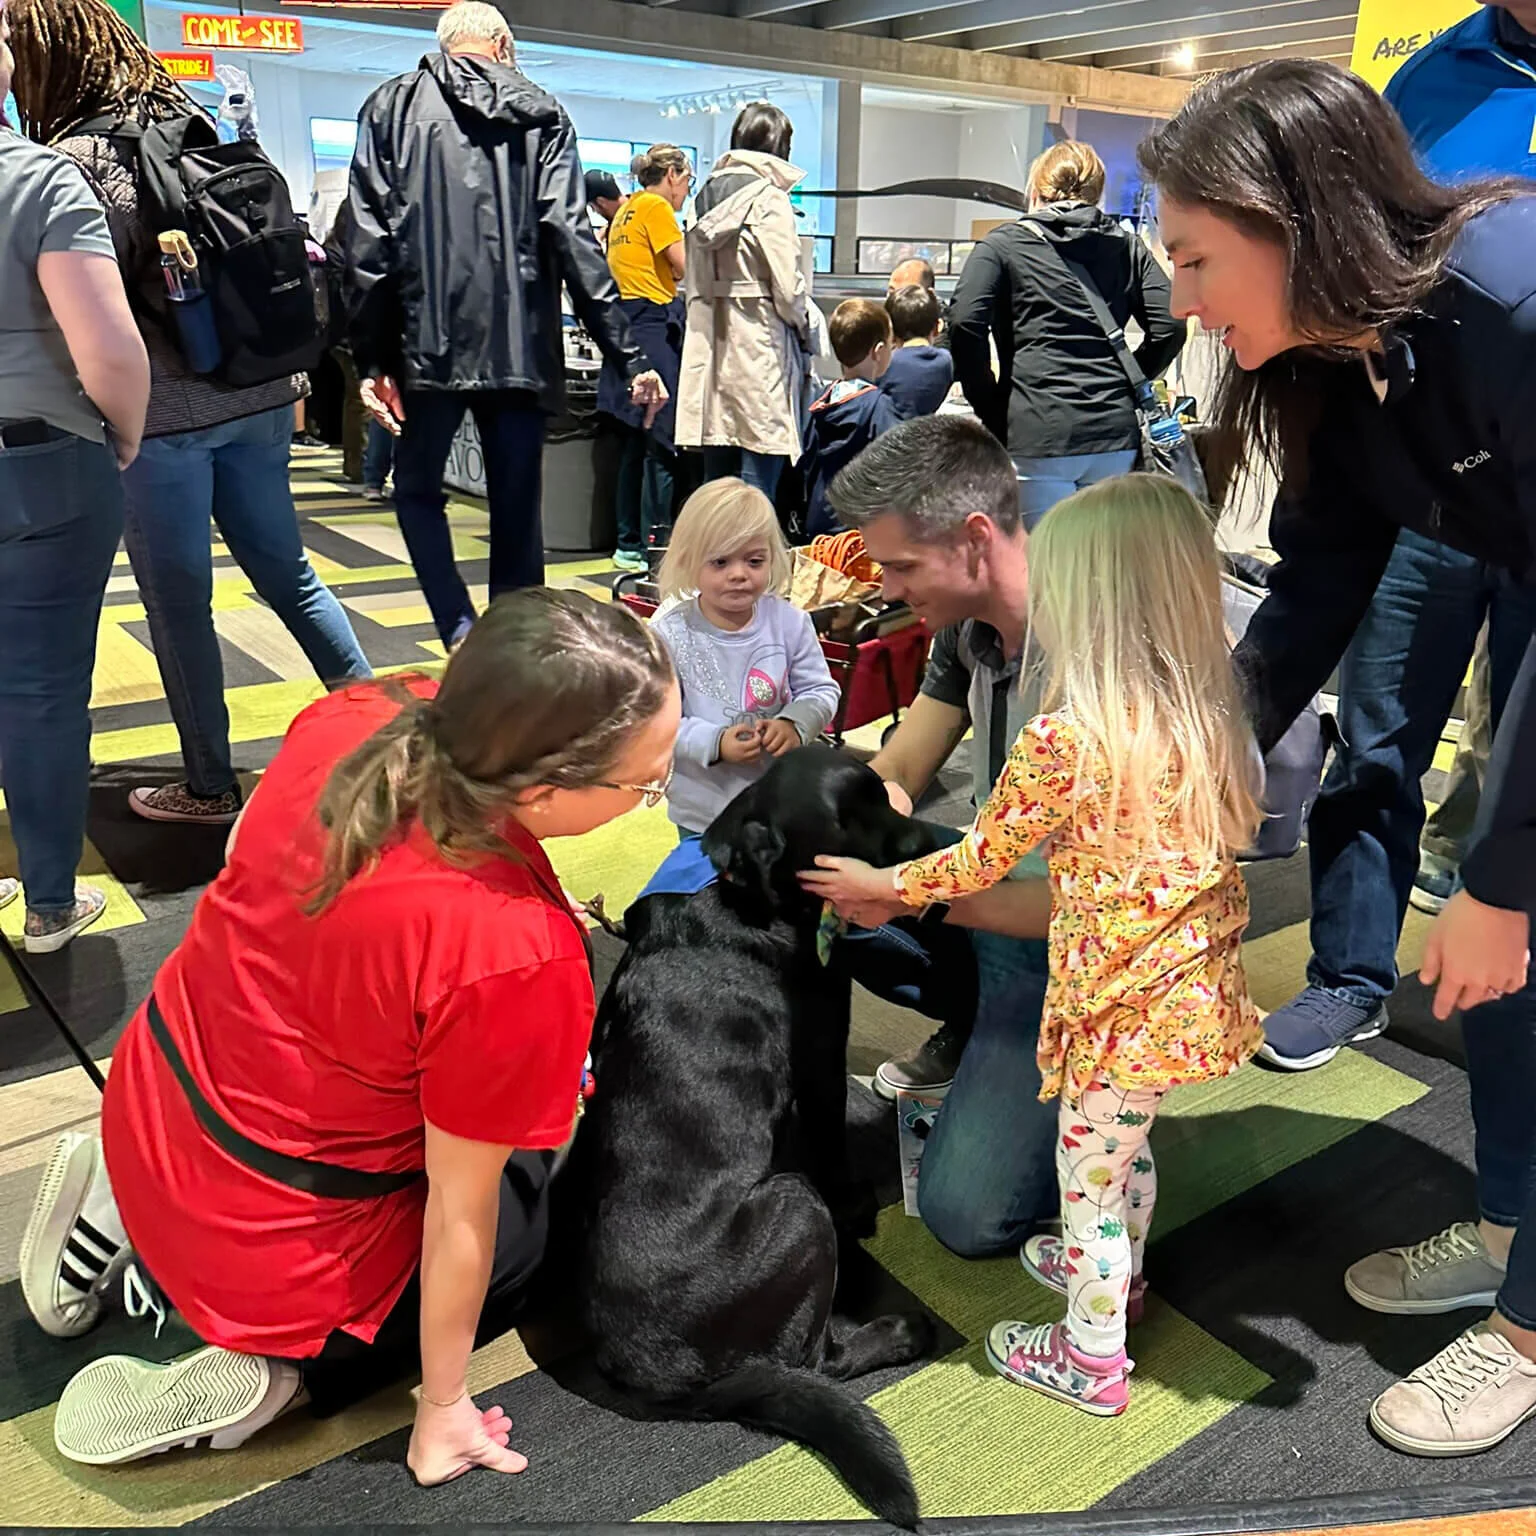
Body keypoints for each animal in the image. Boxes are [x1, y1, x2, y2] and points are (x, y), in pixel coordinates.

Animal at [568, 747, 949, 1528]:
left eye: (883, 796)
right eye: (846, 824)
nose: (935, 845)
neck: (747, 896)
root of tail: (661, 1382)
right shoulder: (823, 1057)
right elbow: (832, 1147)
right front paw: (860, 1207)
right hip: (796, 1207)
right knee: (818, 1360)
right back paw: (902, 1332)